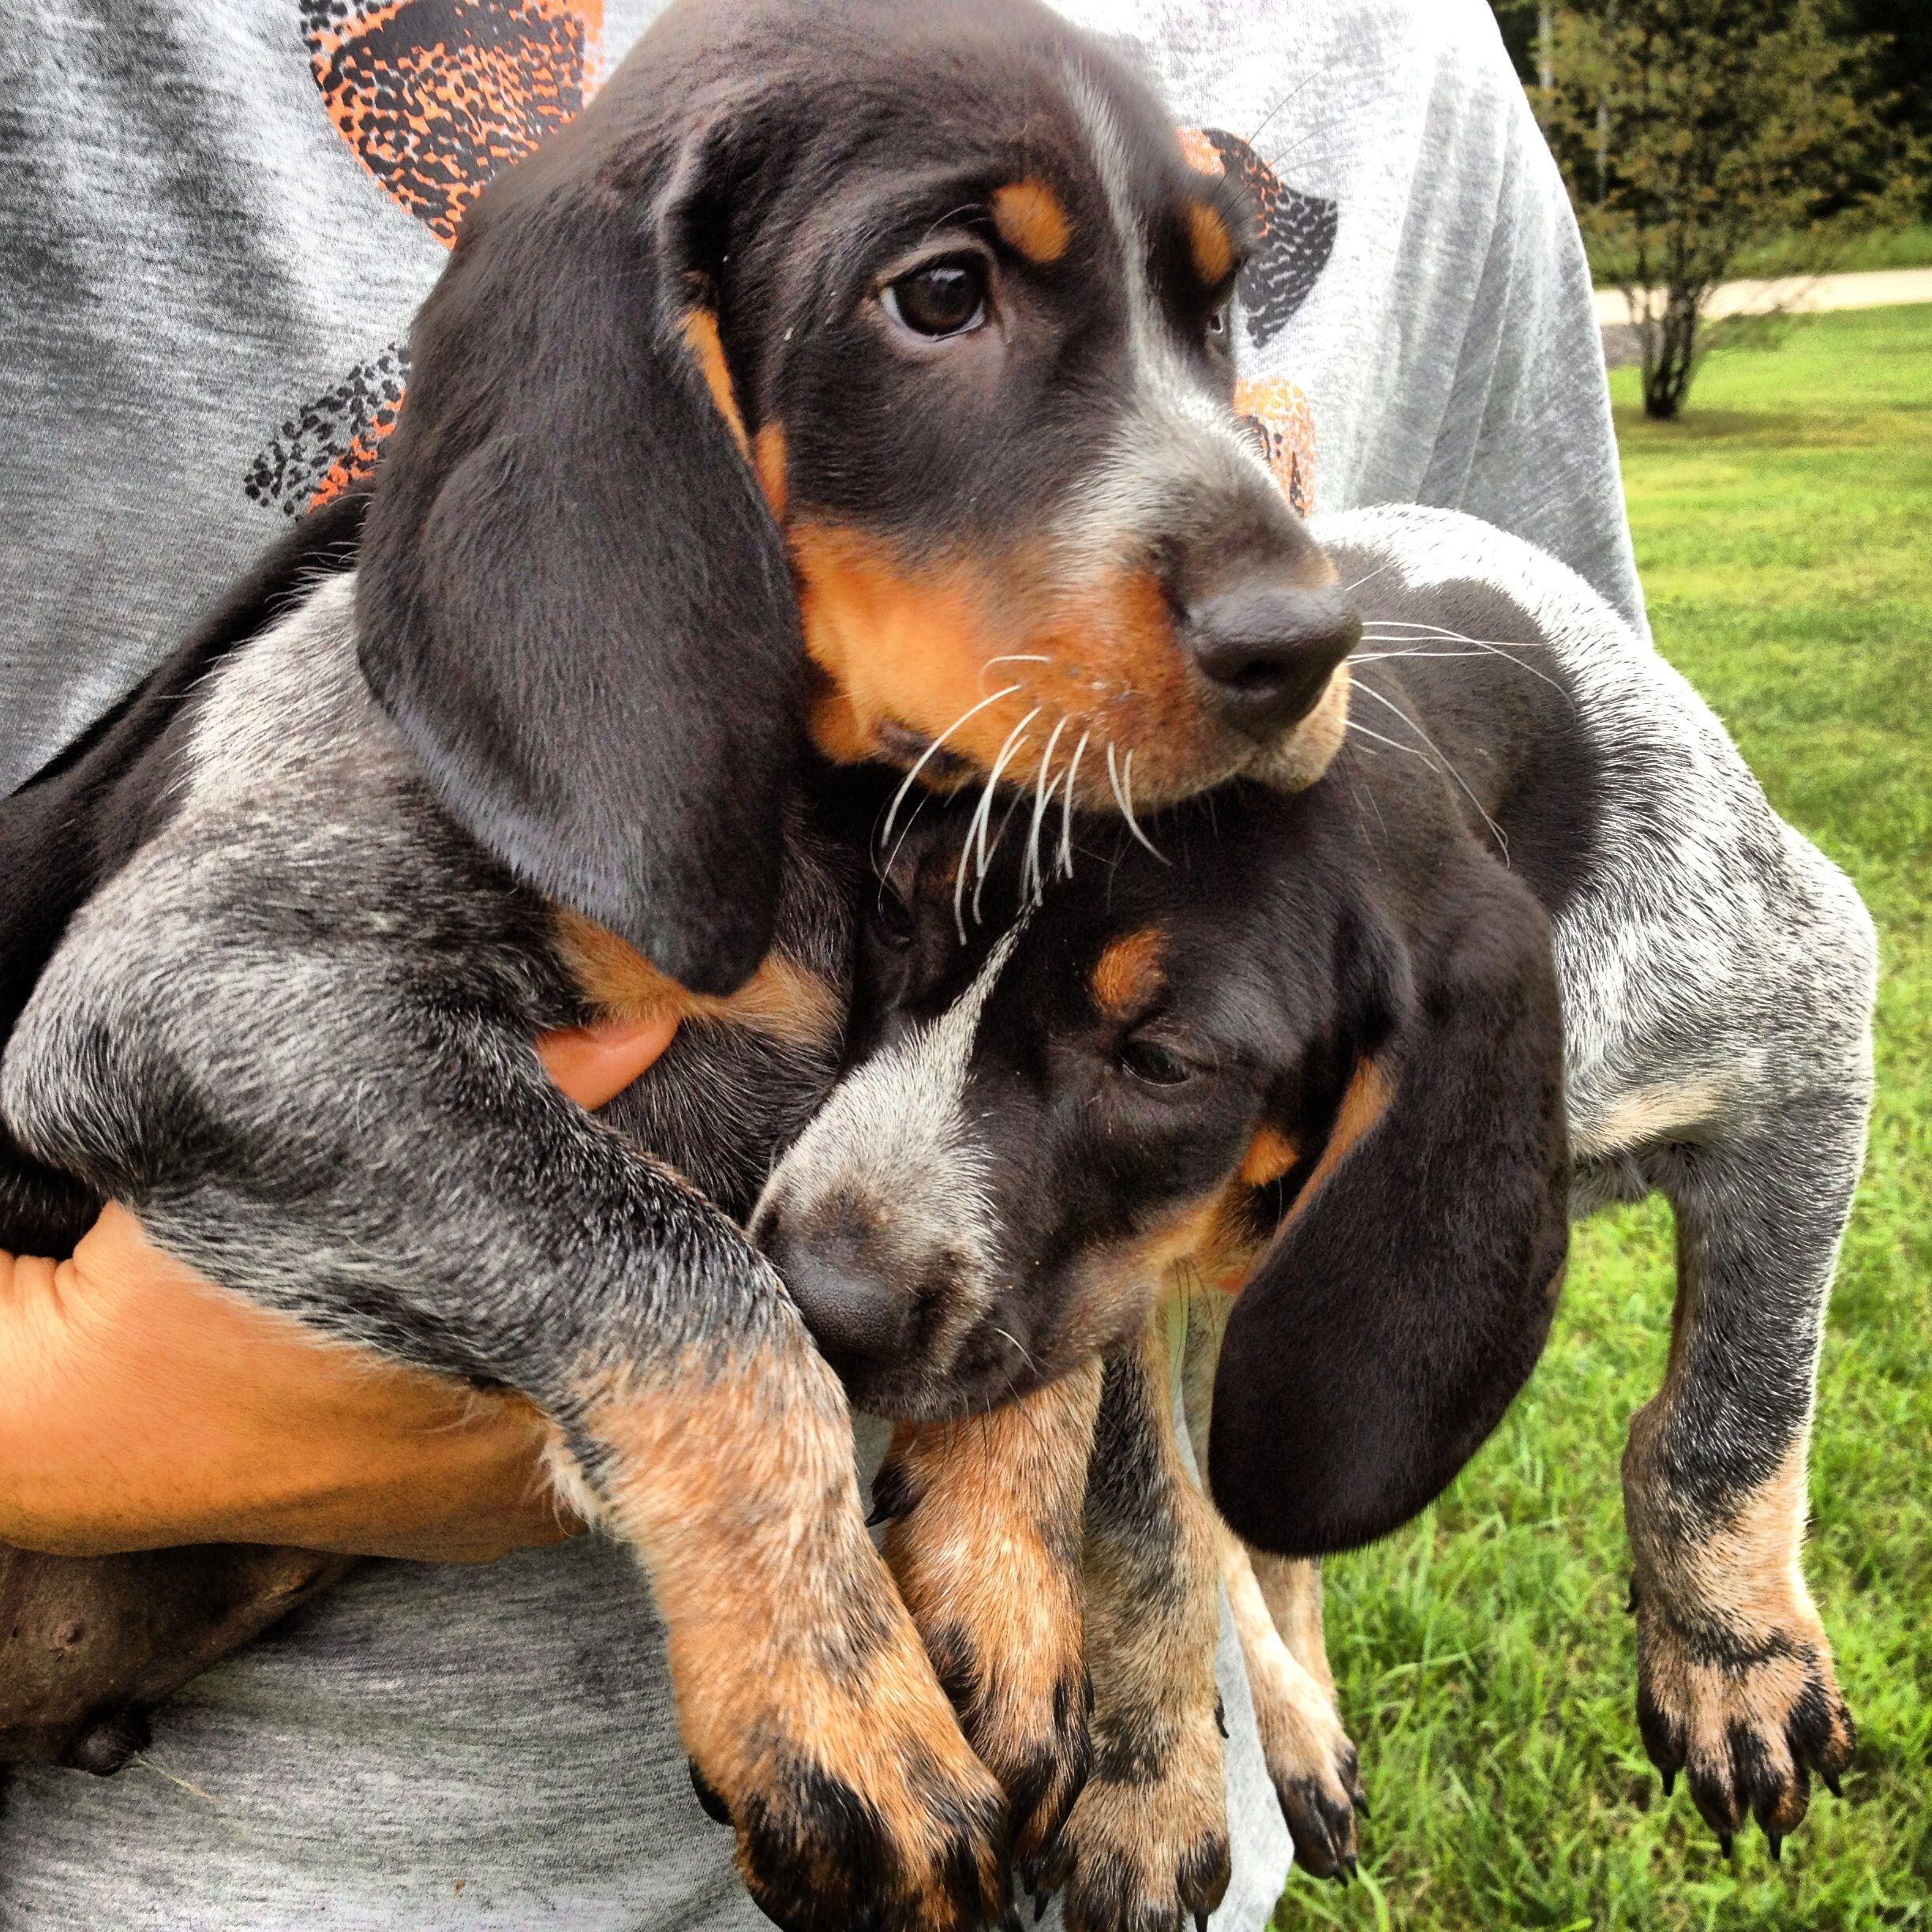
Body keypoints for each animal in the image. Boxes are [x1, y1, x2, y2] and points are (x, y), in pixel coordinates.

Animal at [0, 3, 1368, 1916]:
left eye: (1215, 306)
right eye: (940, 295)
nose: (1312, 638)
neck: (823, 811)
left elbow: (1065, 1340)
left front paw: (1015, 1599)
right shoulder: (192, 997)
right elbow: (691, 1281)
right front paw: (832, 1694)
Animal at [761, 498, 1878, 1900]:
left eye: (1162, 1062)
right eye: (897, 916)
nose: (812, 1296)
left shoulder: (1810, 1024)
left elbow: (1731, 1409)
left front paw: (1734, 1659)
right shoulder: (1130, 1277)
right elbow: (1155, 1526)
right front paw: (1148, 1772)